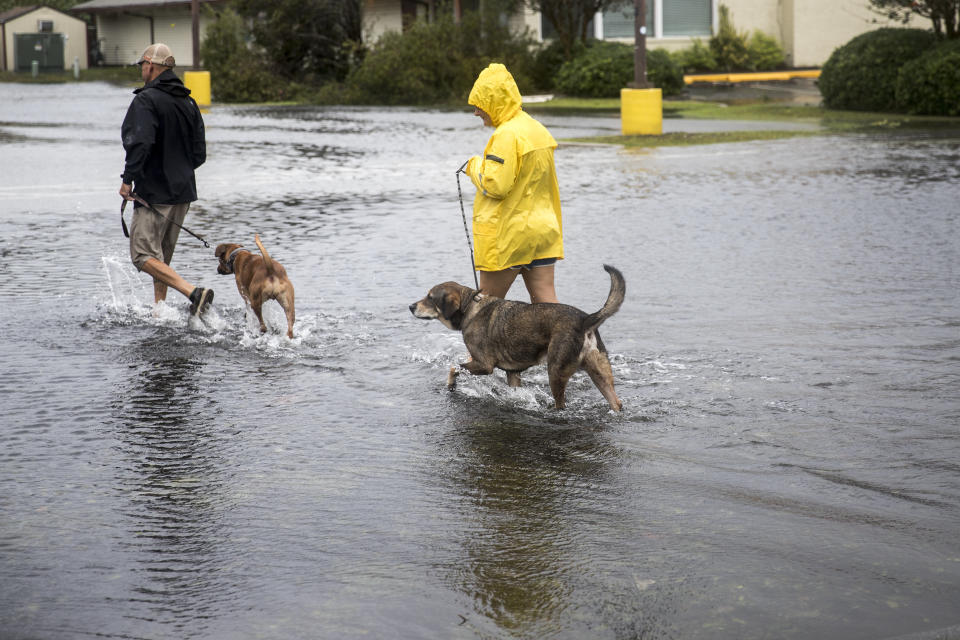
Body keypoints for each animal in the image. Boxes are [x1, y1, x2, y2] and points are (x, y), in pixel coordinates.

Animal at [408, 264, 628, 410]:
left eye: (430, 297)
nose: (410, 306)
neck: (469, 307)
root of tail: (585, 319)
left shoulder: (484, 365)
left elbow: (454, 367)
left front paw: (451, 385)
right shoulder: (512, 373)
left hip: (556, 372)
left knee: (561, 404)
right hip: (599, 371)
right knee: (616, 402)